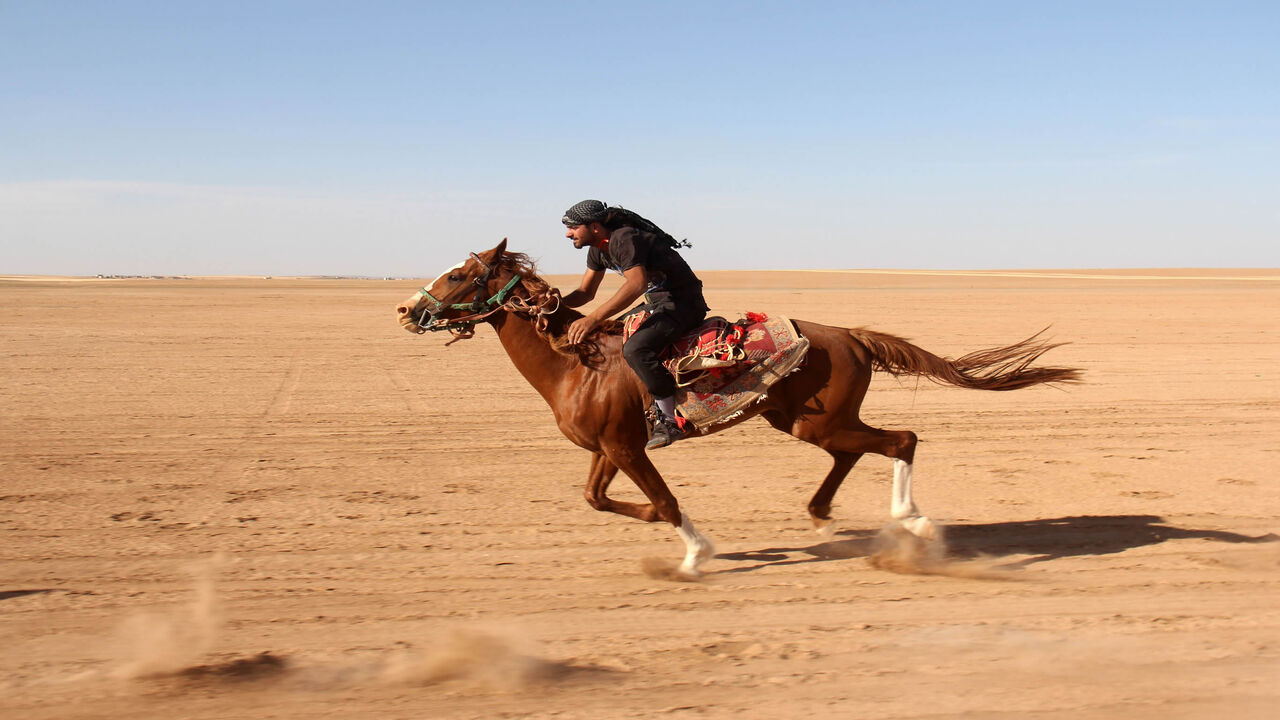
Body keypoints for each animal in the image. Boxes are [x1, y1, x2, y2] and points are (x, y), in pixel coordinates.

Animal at [396, 240, 1080, 576]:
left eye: (457, 275)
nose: (406, 309)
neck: (573, 361)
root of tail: (850, 334)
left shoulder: (626, 445)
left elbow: (664, 502)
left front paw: (696, 554)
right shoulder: (609, 448)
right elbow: (597, 499)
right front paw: (672, 535)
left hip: (820, 418)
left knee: (901, 439)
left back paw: (911, 523)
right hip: (807, 420)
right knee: (858, 451)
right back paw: (825, 517)